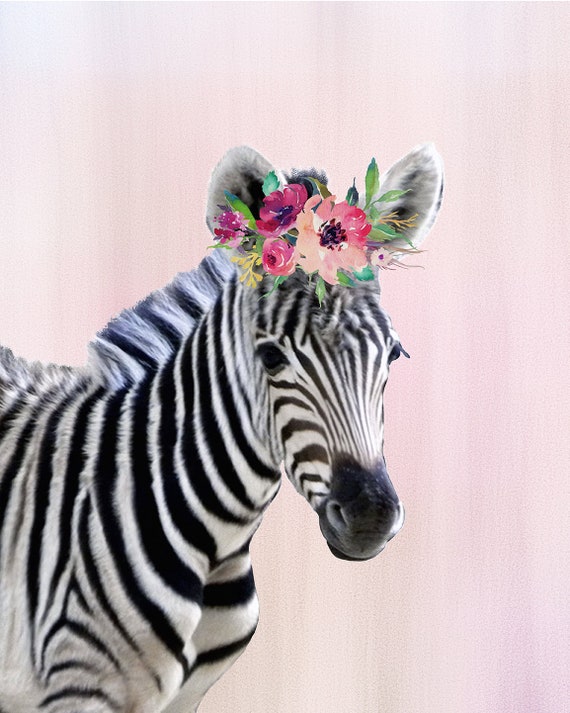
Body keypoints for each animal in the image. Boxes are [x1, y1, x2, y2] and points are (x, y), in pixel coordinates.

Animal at [0, 143, 443, 713]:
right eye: (271, 357)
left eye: (393, 355)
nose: (369, 518)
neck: (215, 541)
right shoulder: (78, 688)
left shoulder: (184, 698)